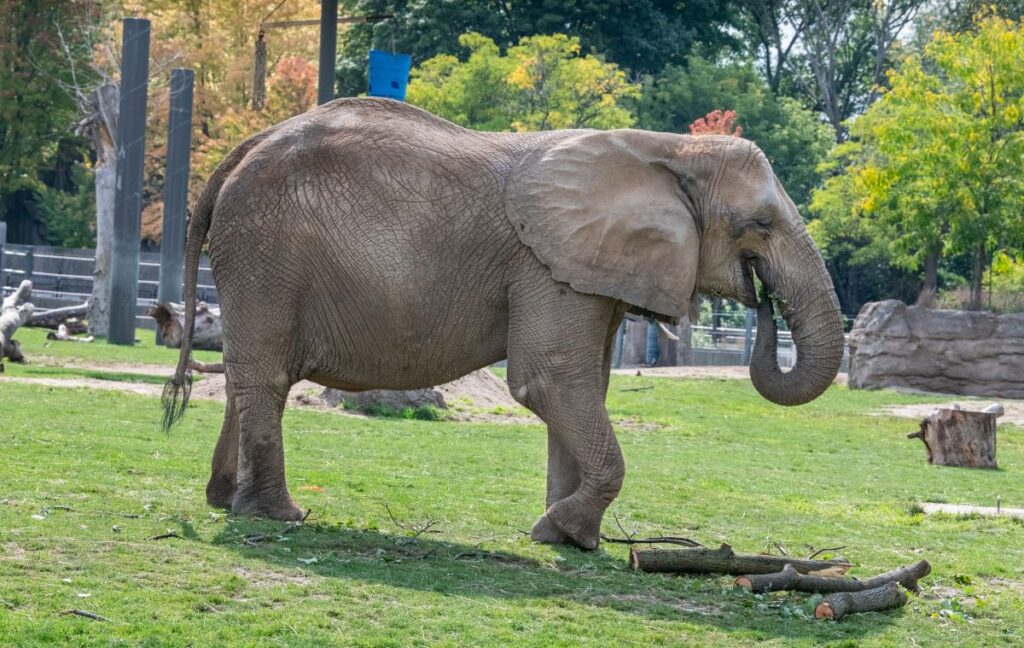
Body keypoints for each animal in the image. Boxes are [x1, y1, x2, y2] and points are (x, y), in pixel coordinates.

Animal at [164, 97, 844, 550]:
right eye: (760, 225)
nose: (760, 297)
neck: (669, 150)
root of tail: (241, 150)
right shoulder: (548, 263)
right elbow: (551, 381)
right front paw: (562, 529)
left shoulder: (585, 270)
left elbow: (586, 387)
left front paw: (567, 539)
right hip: (265, 249)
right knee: (268, 375)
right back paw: (281, 516)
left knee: (249, 373)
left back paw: (227, 501)